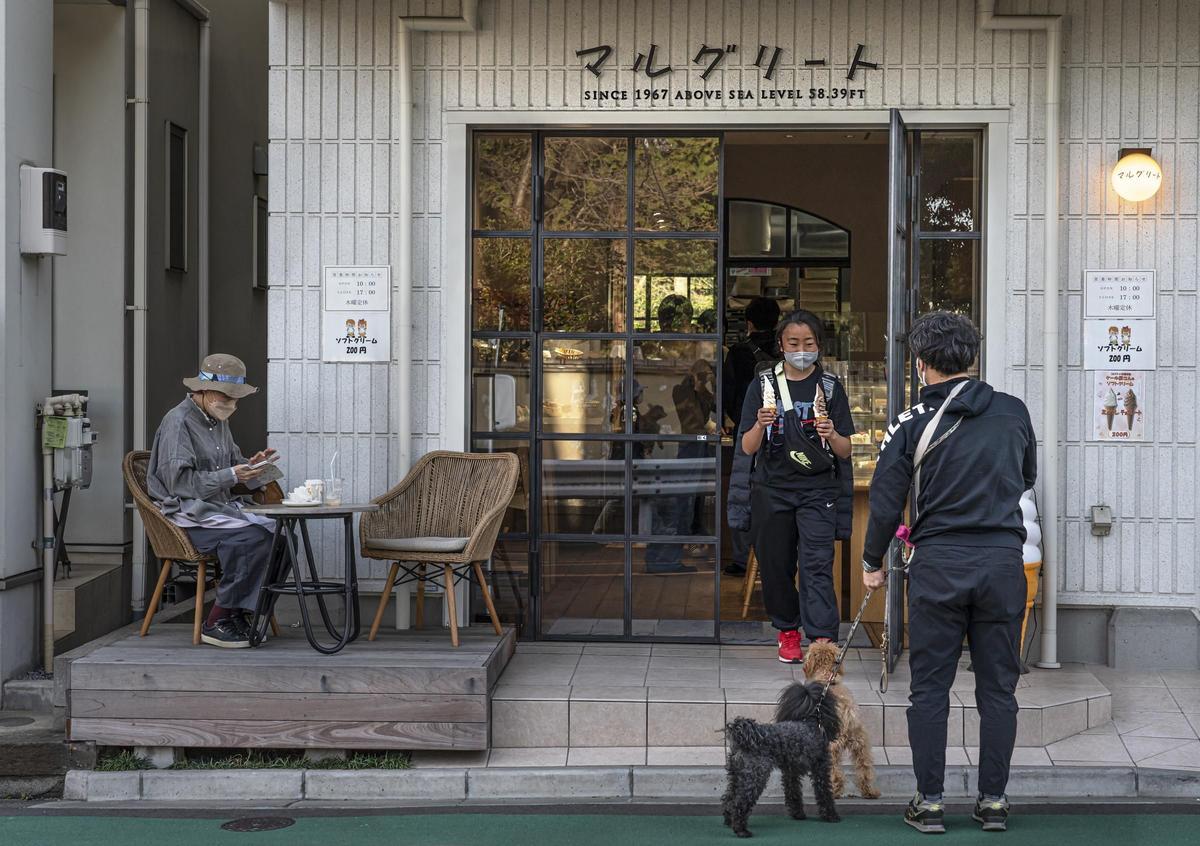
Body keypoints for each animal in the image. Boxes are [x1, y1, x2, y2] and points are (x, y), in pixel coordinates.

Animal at [720, 676, 844, 835]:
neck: (811, 724)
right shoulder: (820, 769)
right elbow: (824, 793)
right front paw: (831, 816)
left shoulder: (791, 772)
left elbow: (793, 792)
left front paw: (798, 814)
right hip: (755, 776)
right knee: (740, 803)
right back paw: (741, 830)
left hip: (736, 775)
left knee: (729, 799)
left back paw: (729, 821)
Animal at [806, 638, 883, 796]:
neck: (826, 677)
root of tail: (847, 716)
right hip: (861, 745)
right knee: (865, 768)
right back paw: (869, 791)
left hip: (832, 747)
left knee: (835, 772)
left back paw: (834, 790)